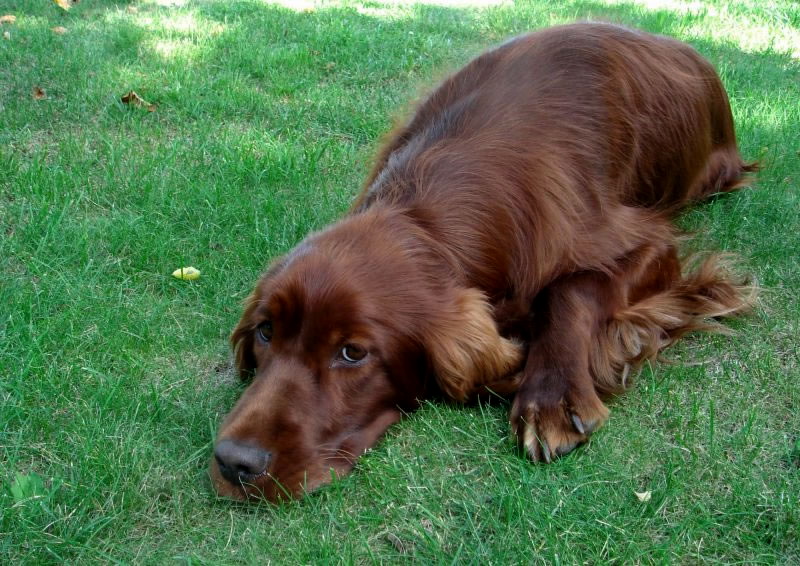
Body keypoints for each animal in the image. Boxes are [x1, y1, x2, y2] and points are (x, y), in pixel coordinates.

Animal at [209, 23, 752, 502]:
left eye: (353, 353)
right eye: (265, 332)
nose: (235, 462)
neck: (427, 212)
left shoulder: (647, 241)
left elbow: (572, 290)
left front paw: (552, 395)